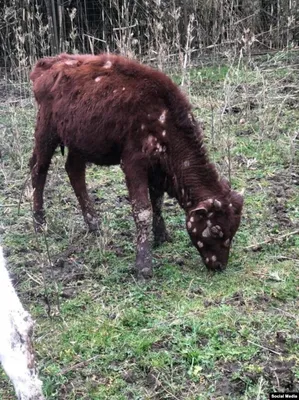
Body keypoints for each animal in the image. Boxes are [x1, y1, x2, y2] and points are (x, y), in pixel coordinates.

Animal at [29, 52, 244, 278]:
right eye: (216, 230)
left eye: (234, 229)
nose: (219, 265)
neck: (164, 119)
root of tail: (46, 65)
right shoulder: (133, 164)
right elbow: (142, 210)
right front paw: (143, 265)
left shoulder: (157, 169)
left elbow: (157, 202)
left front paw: (162, 236)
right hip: (46, 131)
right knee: (38, 170)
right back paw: (39, 223)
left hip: (78, 141)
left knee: (75, 171)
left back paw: (94, 224)